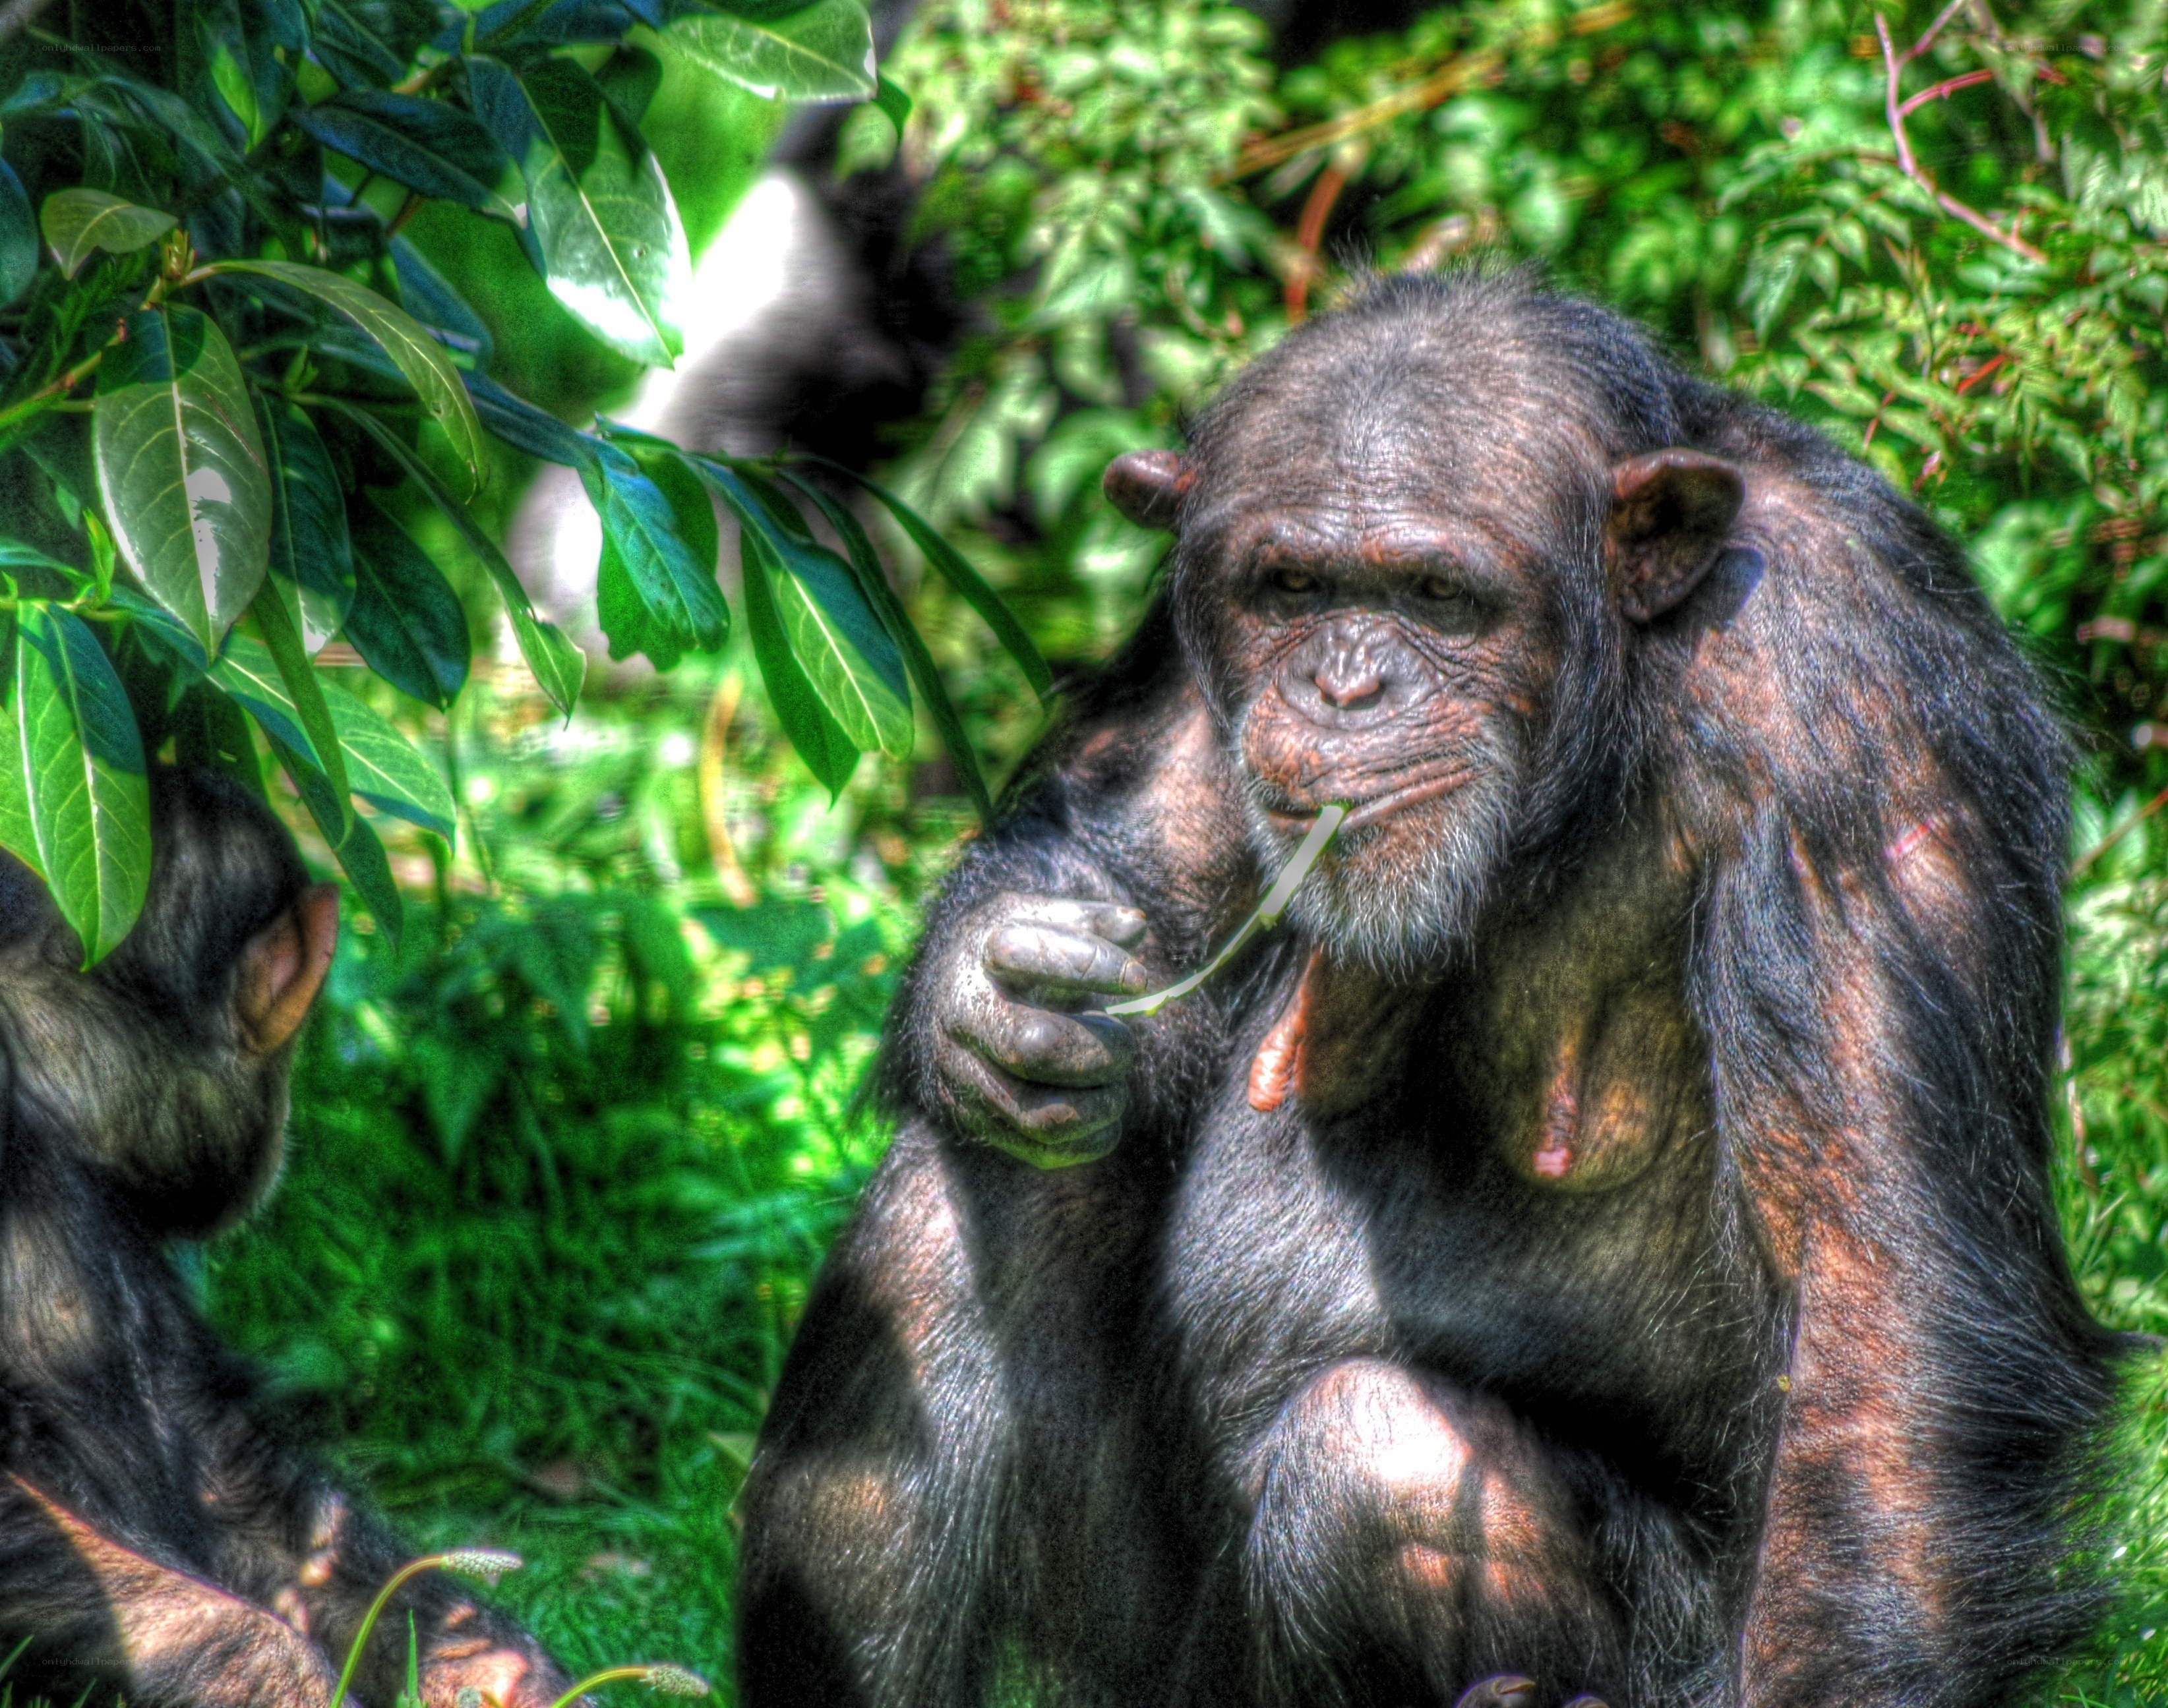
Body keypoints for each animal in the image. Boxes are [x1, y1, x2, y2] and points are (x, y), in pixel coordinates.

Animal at [734, 272, 2128, 1708]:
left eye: (1440, 596)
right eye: (1291, 586)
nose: (1346, 681)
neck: (1616, 699)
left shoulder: (1855, 694)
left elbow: (1874, 1322)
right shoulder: (1191, 641)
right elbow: (1133, 852)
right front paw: (995, 993)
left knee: (1376, 1462)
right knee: (970, 1194)